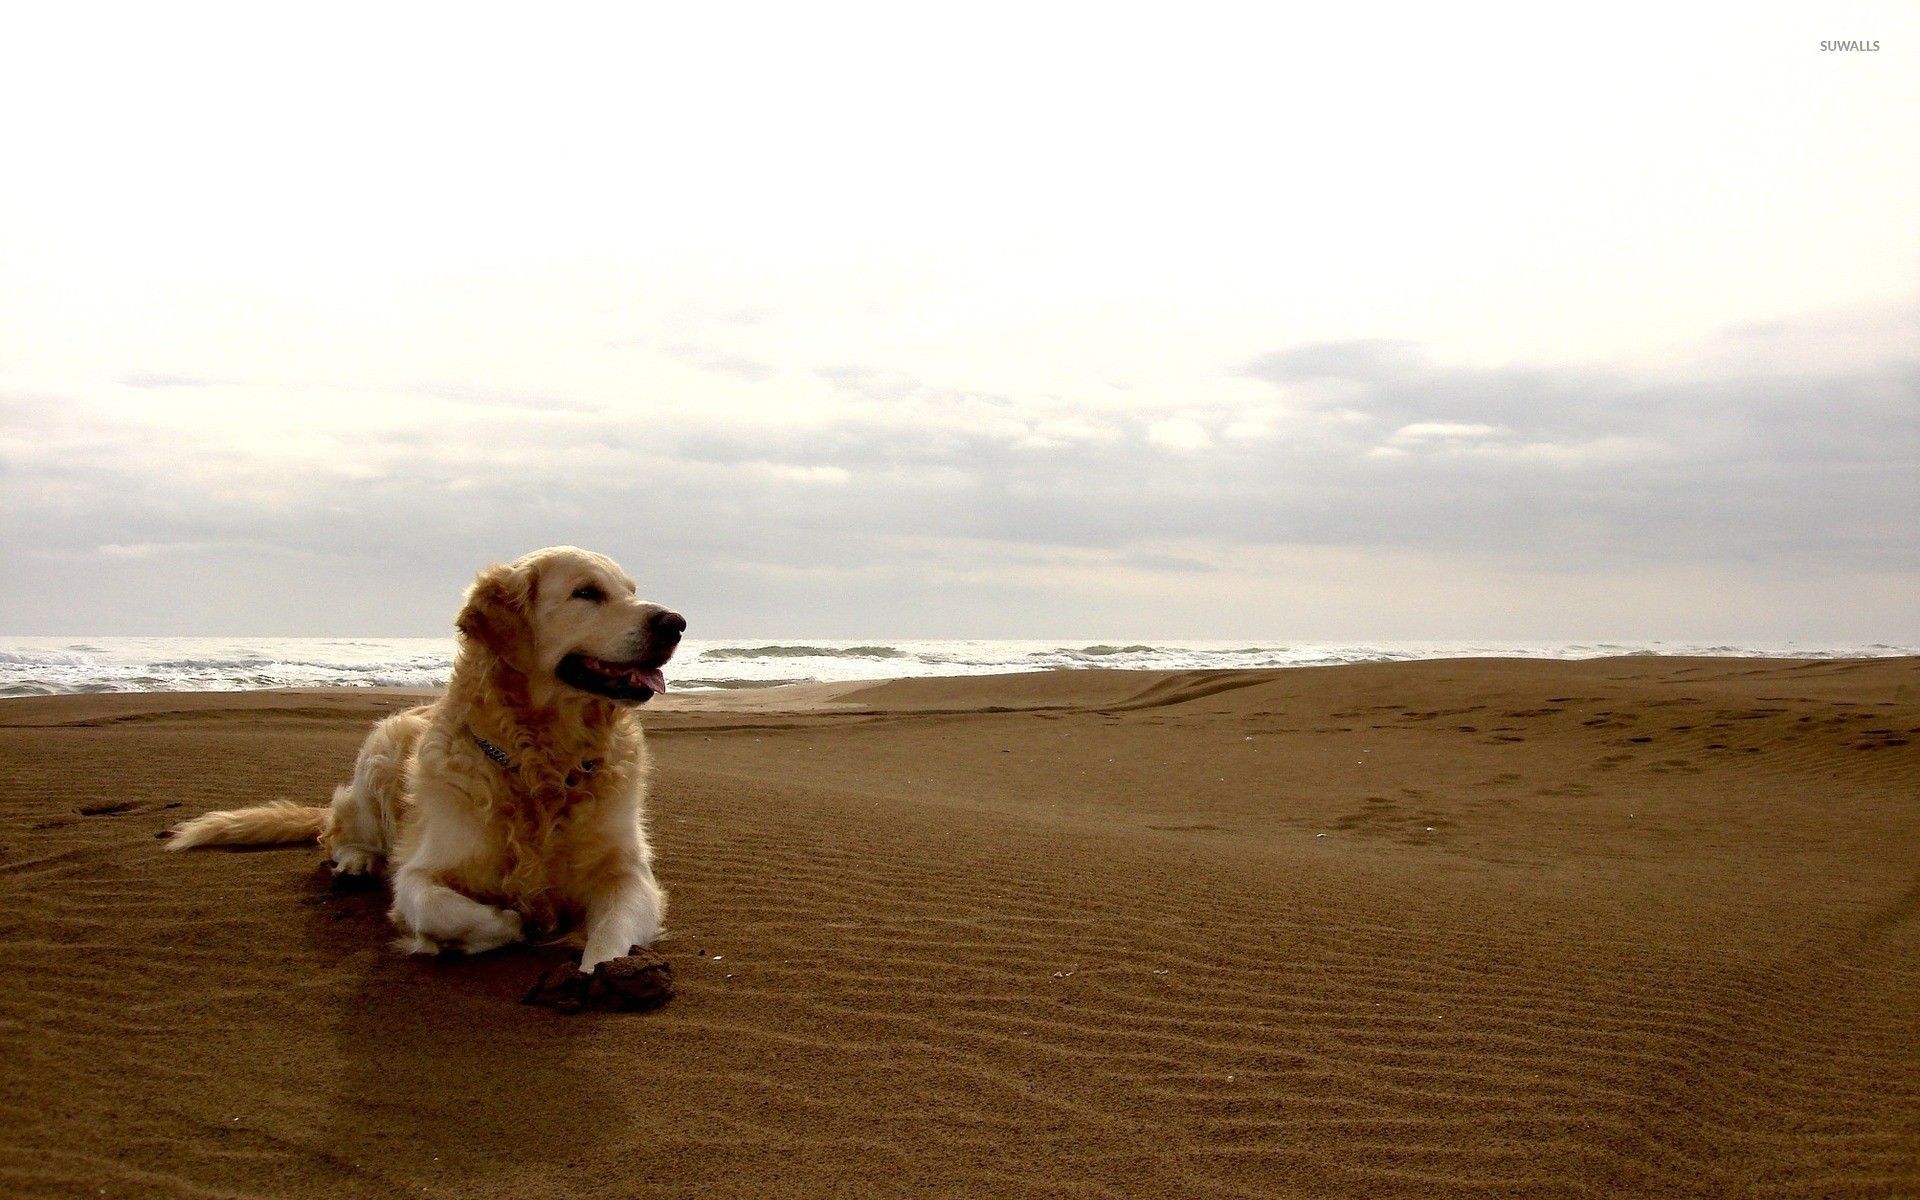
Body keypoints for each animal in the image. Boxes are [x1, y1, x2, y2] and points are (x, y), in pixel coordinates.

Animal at [167, 549, 683, 967]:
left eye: (631, 591)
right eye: (587, 592)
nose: (676, 623)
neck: (540, 766)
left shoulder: (629, 874)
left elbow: (611, 936)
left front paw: (602, 974)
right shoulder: (421, 872)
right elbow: (450, 910)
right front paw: (517, 922)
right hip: (377, 758)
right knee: (336, 831)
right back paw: (356, 862)